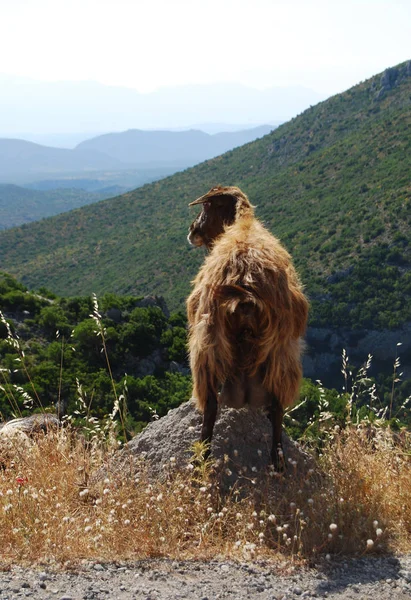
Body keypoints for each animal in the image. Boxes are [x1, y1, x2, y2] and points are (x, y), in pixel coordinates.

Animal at [187, 185, 308, 466]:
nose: (192, 229)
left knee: (211, 405)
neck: (241, 225)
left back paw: (202, 456)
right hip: (281, 352)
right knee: (277, 405)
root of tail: (244, 290)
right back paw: (278, 458)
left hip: (207, 346)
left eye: (206, 206)